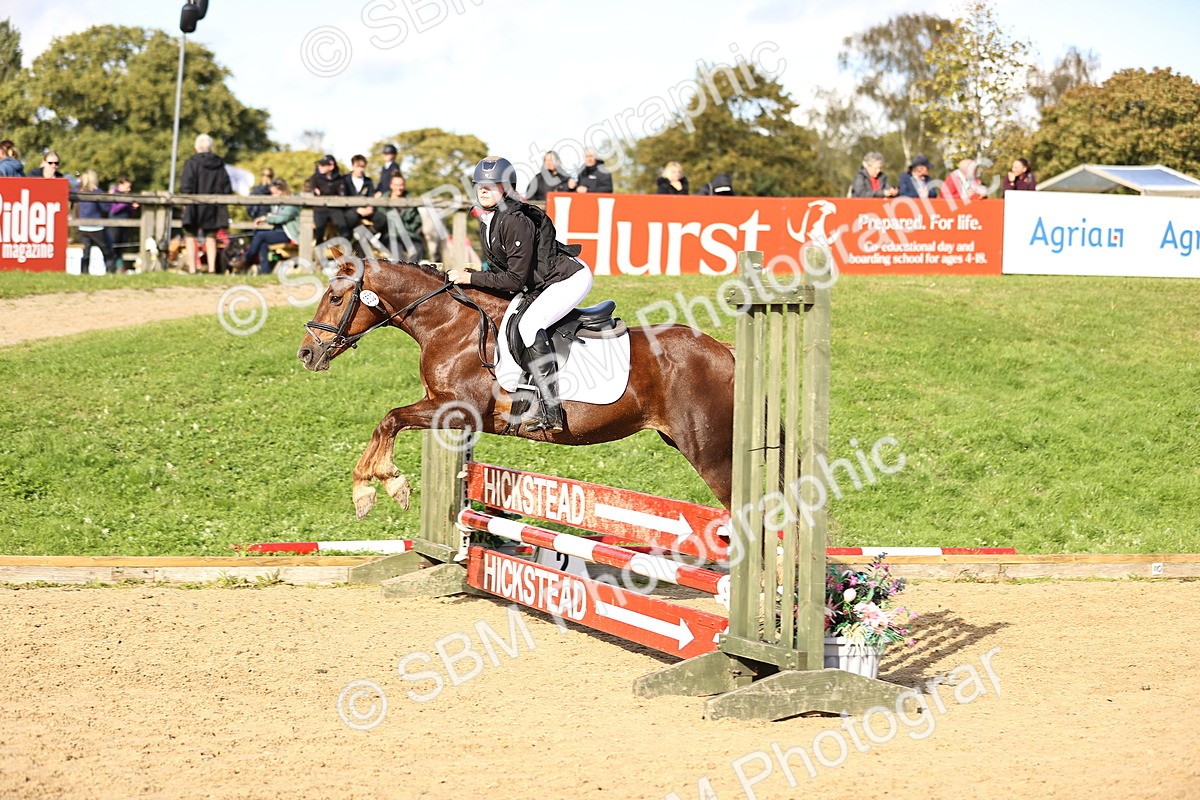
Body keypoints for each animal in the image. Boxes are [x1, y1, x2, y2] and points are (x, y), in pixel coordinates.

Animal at [296, 258, 735, 520]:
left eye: (336, 298)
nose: (306, 354)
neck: (450, 324)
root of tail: (724, 350)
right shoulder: (445, 410)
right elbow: (388, 421)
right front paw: (373, 487)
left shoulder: (454, 408)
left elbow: (389, 419)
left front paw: (381, 487)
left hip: (711, 454)